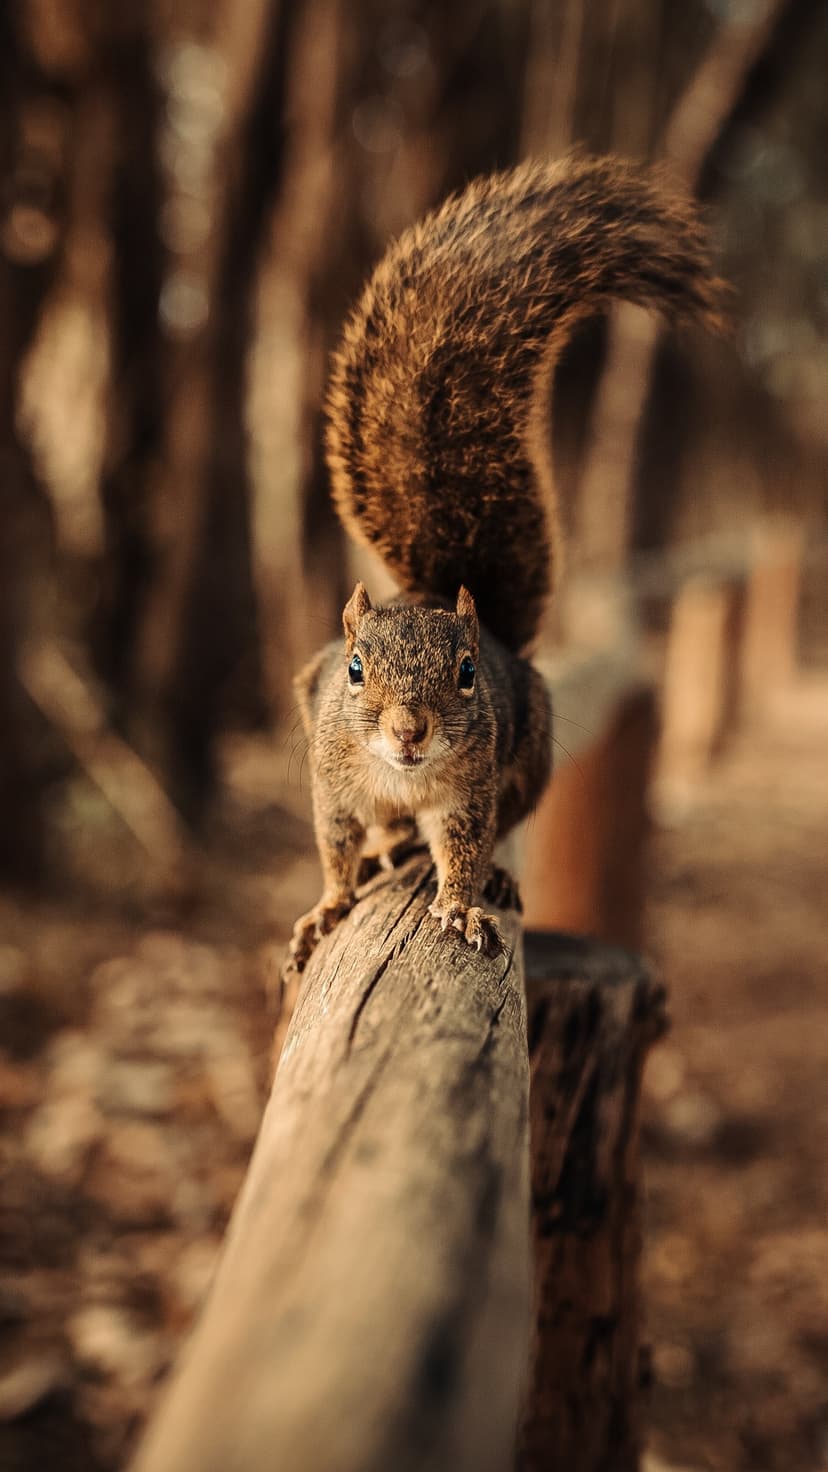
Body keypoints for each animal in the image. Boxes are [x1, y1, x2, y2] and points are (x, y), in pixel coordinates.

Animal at [286, 152, 724, 974]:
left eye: (465, 672)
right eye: (354, 669)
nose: (409, 731)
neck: (401, 777)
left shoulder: (470, 792)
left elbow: (461, 848)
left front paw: (461, 904)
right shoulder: (333, 786)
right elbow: (334, 848)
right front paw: (326, 906)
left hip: (530, 751)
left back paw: (481, 874)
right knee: (381, 837)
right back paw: (386, 850)